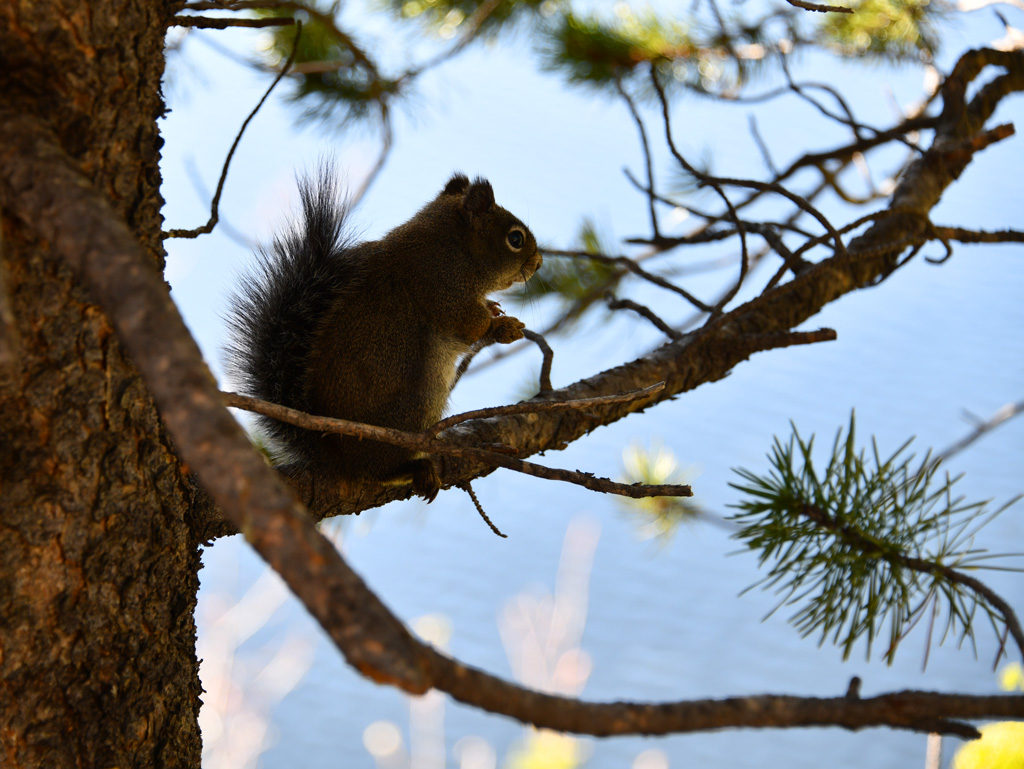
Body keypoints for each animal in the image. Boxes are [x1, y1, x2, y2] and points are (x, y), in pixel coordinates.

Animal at [225, 168, 544, 501]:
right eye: (515, 238)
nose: (538, 264)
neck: (453, 247)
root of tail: (336, 457)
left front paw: (494, 308)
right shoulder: (443, 289)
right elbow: (471, 327)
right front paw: (503, 327)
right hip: (418, 405)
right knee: (377, 471)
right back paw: (411, 469)